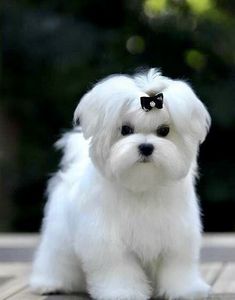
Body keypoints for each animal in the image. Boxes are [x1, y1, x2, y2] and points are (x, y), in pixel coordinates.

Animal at [30, 68, 211, 300]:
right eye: (125, 129)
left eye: (164, 131)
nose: (146, 147)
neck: (142, 186)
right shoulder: (107, 241)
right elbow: (118, 268)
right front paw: (123, 292)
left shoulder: (178, 236)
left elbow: (178, 265)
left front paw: (185, 290)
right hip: (59, 232)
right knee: (55, 256)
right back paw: (49, 283)